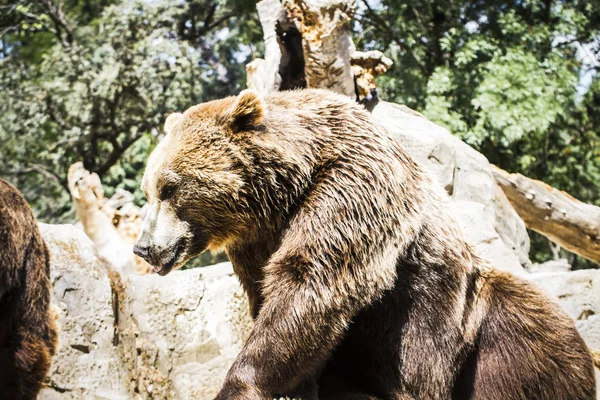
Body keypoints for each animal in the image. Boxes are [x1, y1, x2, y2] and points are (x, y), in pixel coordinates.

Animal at [135, 90, 596, 400]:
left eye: (170, 187)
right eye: (149, 188)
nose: (142, 247)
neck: (285, 190)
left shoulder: (352, 184)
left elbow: (312, 283)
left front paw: (239, 385)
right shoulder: (256, 240)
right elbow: (274, 300)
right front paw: (298, 386)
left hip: (475, 323)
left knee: (536, 342)